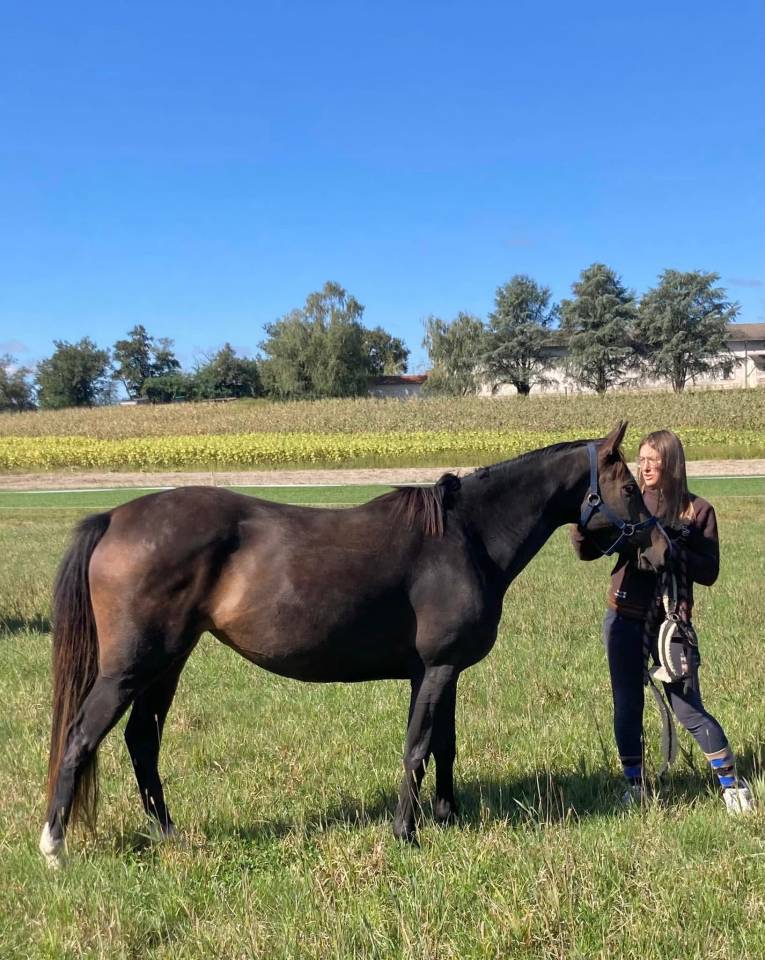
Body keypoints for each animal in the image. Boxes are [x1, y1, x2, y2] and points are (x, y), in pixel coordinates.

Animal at [40, 422, 667, 867]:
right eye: (629, 486)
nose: (662, 550)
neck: (466, 538)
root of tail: (114, 517)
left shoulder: (439, 672)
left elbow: (444, 746)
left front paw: (446, 815)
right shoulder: (437, 669)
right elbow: (417, 748)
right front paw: (406, 833)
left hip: (167, 663)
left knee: (141, 740)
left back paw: (168, 834)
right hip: (130, 668)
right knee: (80, 738)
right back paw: (54, 847)